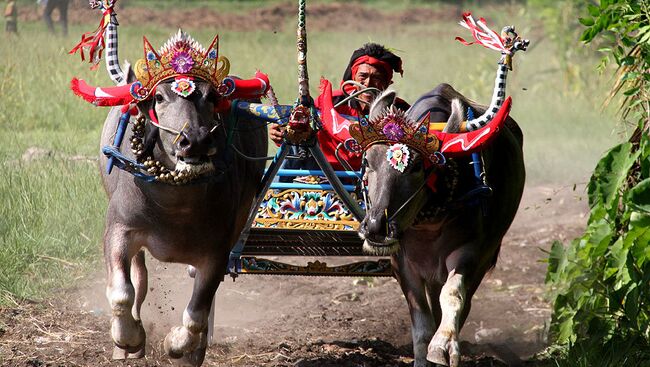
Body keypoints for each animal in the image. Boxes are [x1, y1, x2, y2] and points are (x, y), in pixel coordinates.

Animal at [354, 84, 528, 367]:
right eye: (368, 161)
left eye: (416, 166)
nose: (376, 227)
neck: (429, 223)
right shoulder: (402, 263)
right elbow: (421, 323)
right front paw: (423, 356)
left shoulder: (471, 252)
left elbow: (453, 295)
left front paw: (443, 345)